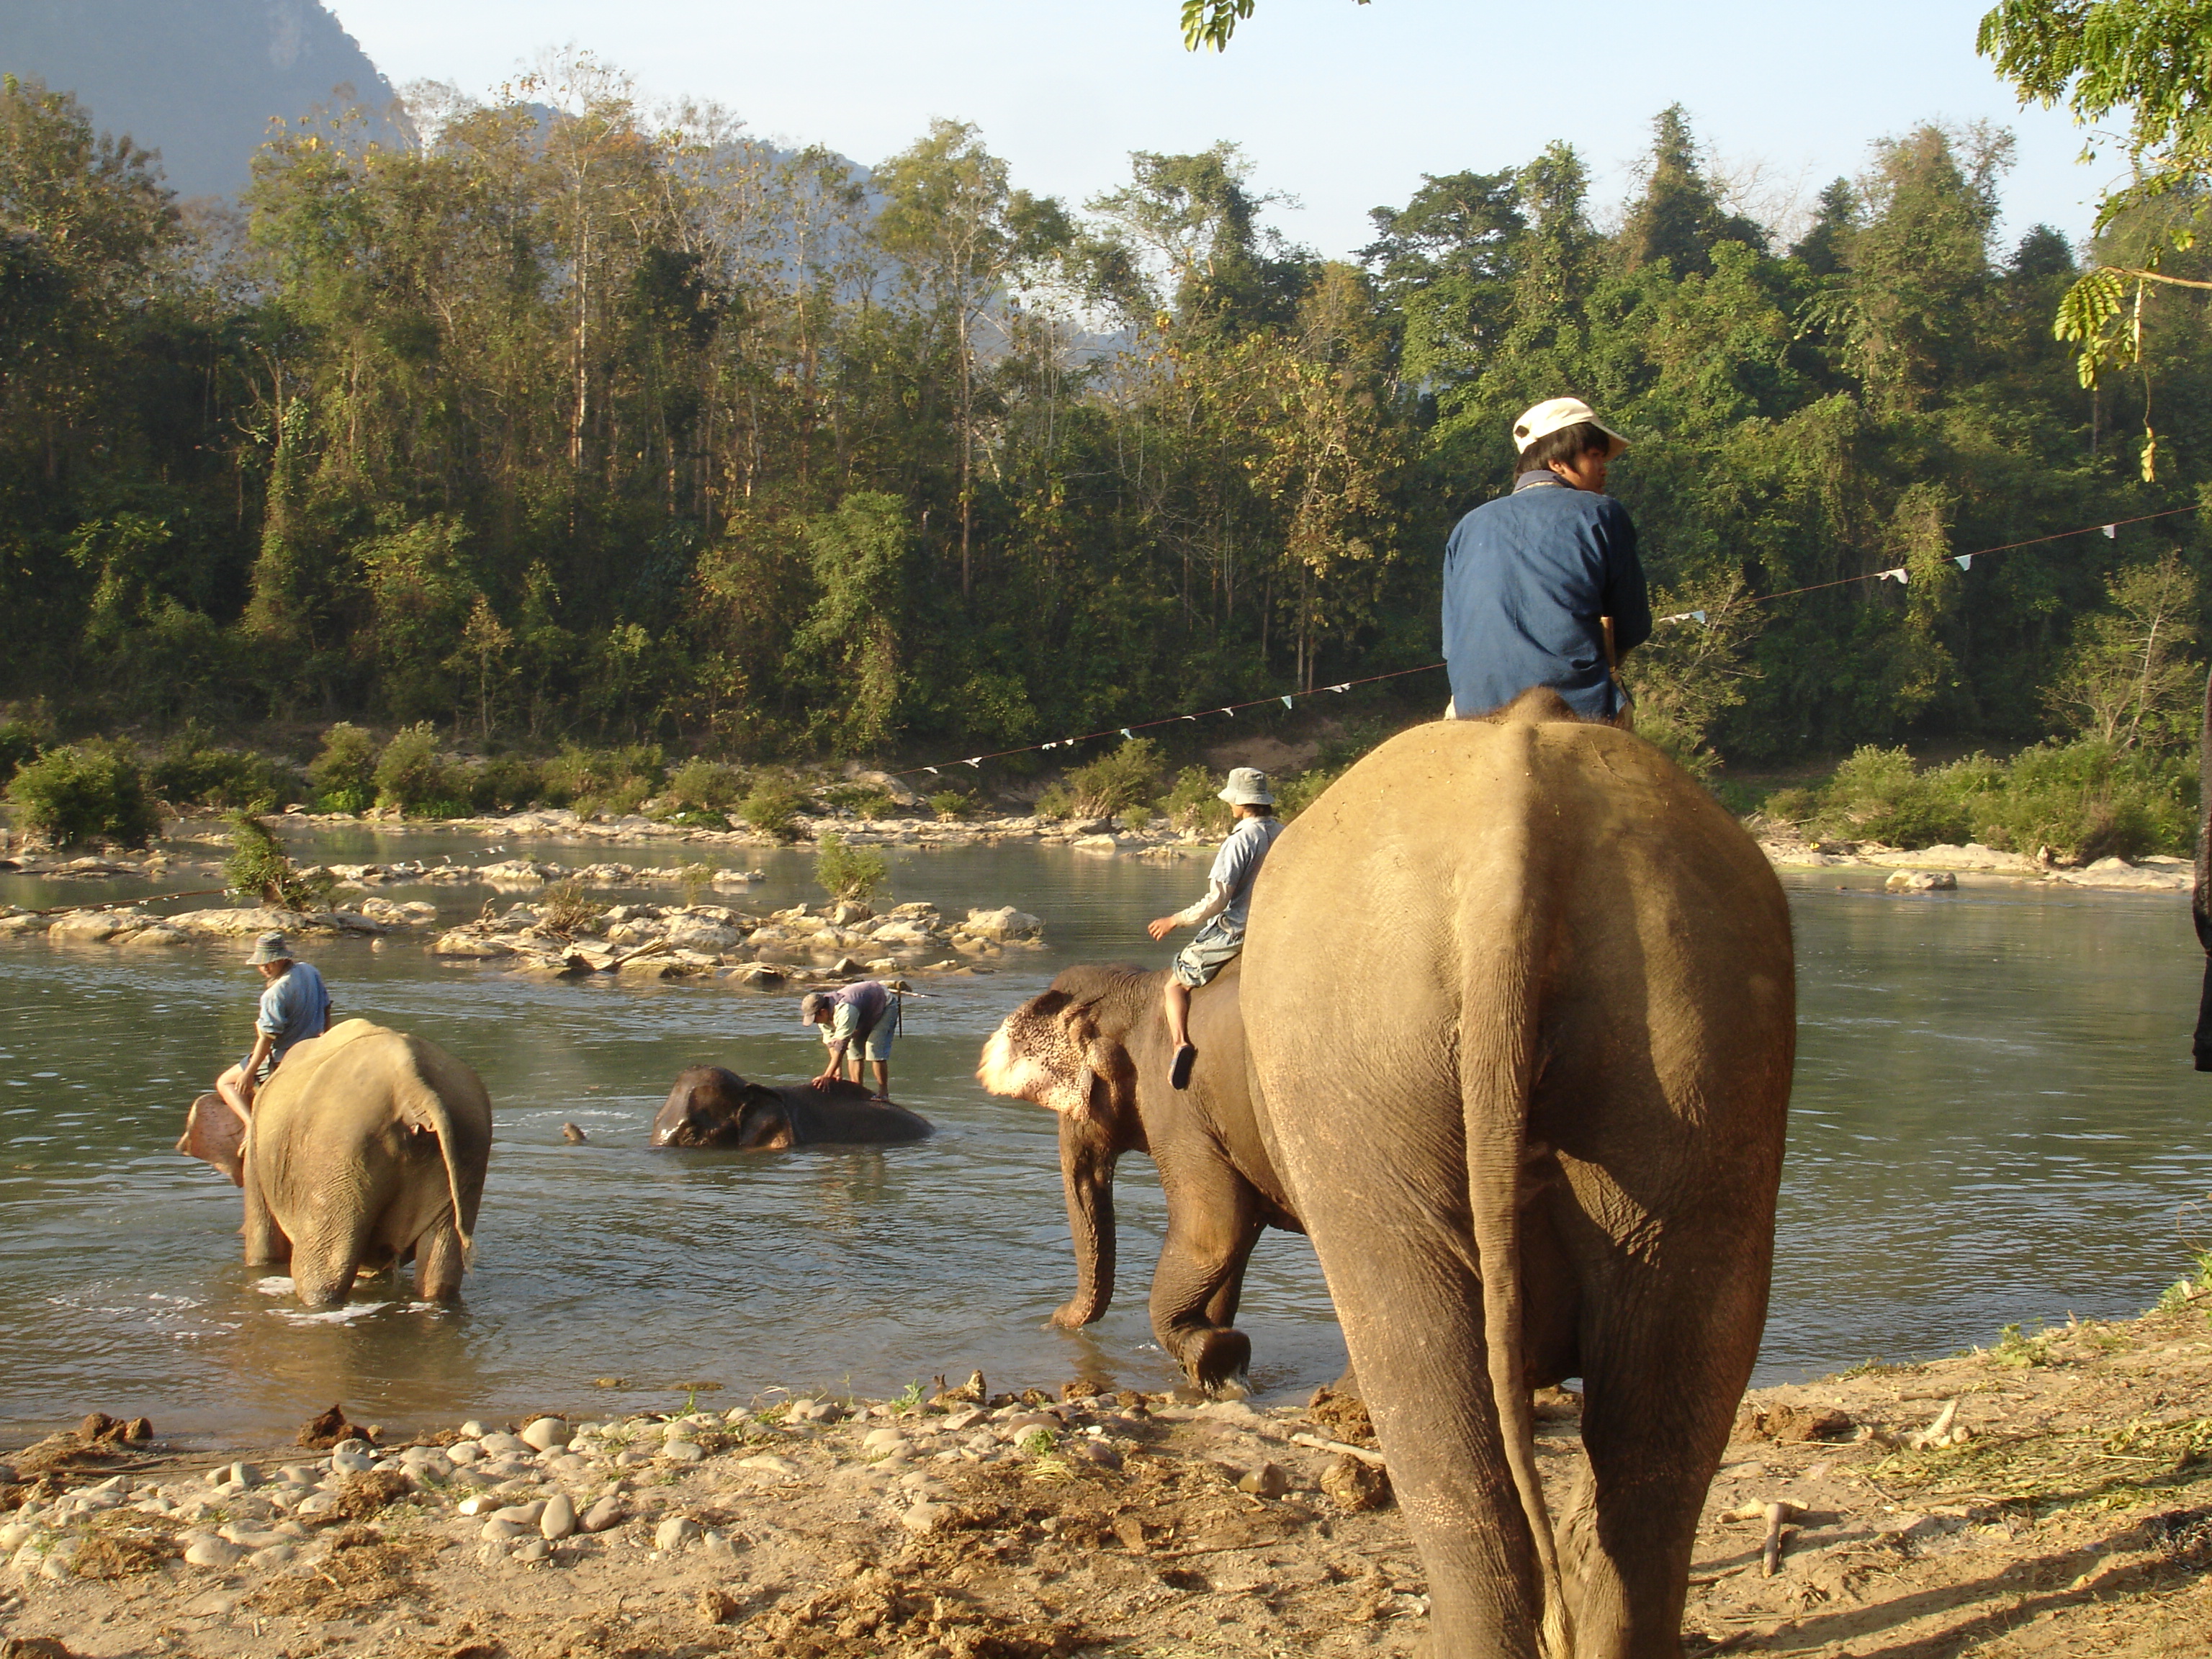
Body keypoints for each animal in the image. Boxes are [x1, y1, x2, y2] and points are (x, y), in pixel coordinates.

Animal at [178, 1022, 498, 1318]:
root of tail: (412, 1085)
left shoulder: (258, 1153)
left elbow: (263, 1249)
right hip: (469, 1142)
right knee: (441, 1272)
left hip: (338, 1152)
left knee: (321, 1275)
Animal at [973, 956, 1292, 1398]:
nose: (1053, 1317)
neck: (1141, 987)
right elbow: (1239, 1242)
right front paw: (1220, 1368)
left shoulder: (1178, 1106)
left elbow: (1216, 1232)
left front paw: (1210, 1352)